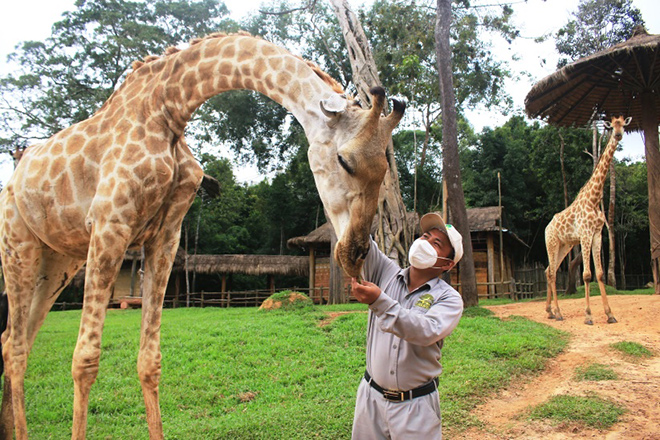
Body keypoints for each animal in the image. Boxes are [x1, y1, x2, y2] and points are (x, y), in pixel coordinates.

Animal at [0, 32, 404, 438]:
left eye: (386, 168)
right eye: (344, 161)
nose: (353, 255)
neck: (167, 107)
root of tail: (14, 178)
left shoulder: (165, 236)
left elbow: (150, 360)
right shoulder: (110, 223)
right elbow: (85, 360)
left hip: (58, 260)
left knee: (16, 340)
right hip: (18, 245)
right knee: (15, 348)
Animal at [544, 115, 632, 324]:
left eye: (623, 125)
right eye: (612, 125)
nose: (618, 135)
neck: (594, 199)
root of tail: (546, 228)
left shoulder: (597, 234)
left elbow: (599, 274)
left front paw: (610, 314)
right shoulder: (585, 234)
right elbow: (586, 275)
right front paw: (588, 315)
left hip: (564, 246)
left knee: (549, 270)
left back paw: (550, 311)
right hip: (552, 243)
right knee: (551, 273)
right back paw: (558, 313)